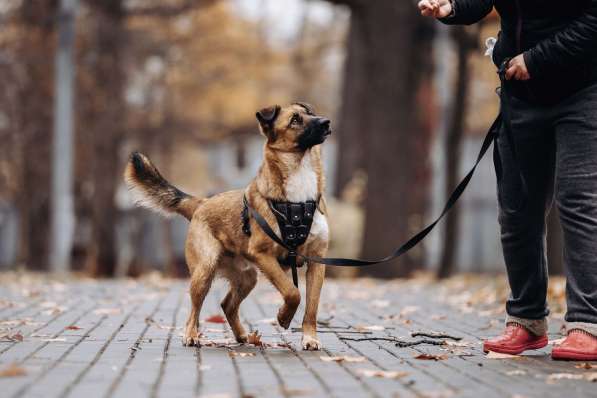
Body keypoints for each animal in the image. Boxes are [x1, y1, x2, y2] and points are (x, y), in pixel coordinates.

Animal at [124, 102, 330, 348]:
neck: (298, 199)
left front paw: (309, 337)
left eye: (311, 113)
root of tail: (202, 203)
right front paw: (283, 316)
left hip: (248, 278)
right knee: (194, 309)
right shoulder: (262, 254)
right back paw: (191, 335)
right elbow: (292, 293)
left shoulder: (317, 260)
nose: (326, 122)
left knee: (227, 304)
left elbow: (312, 307)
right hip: (205, 269)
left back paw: (242, 335)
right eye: (295, 120)